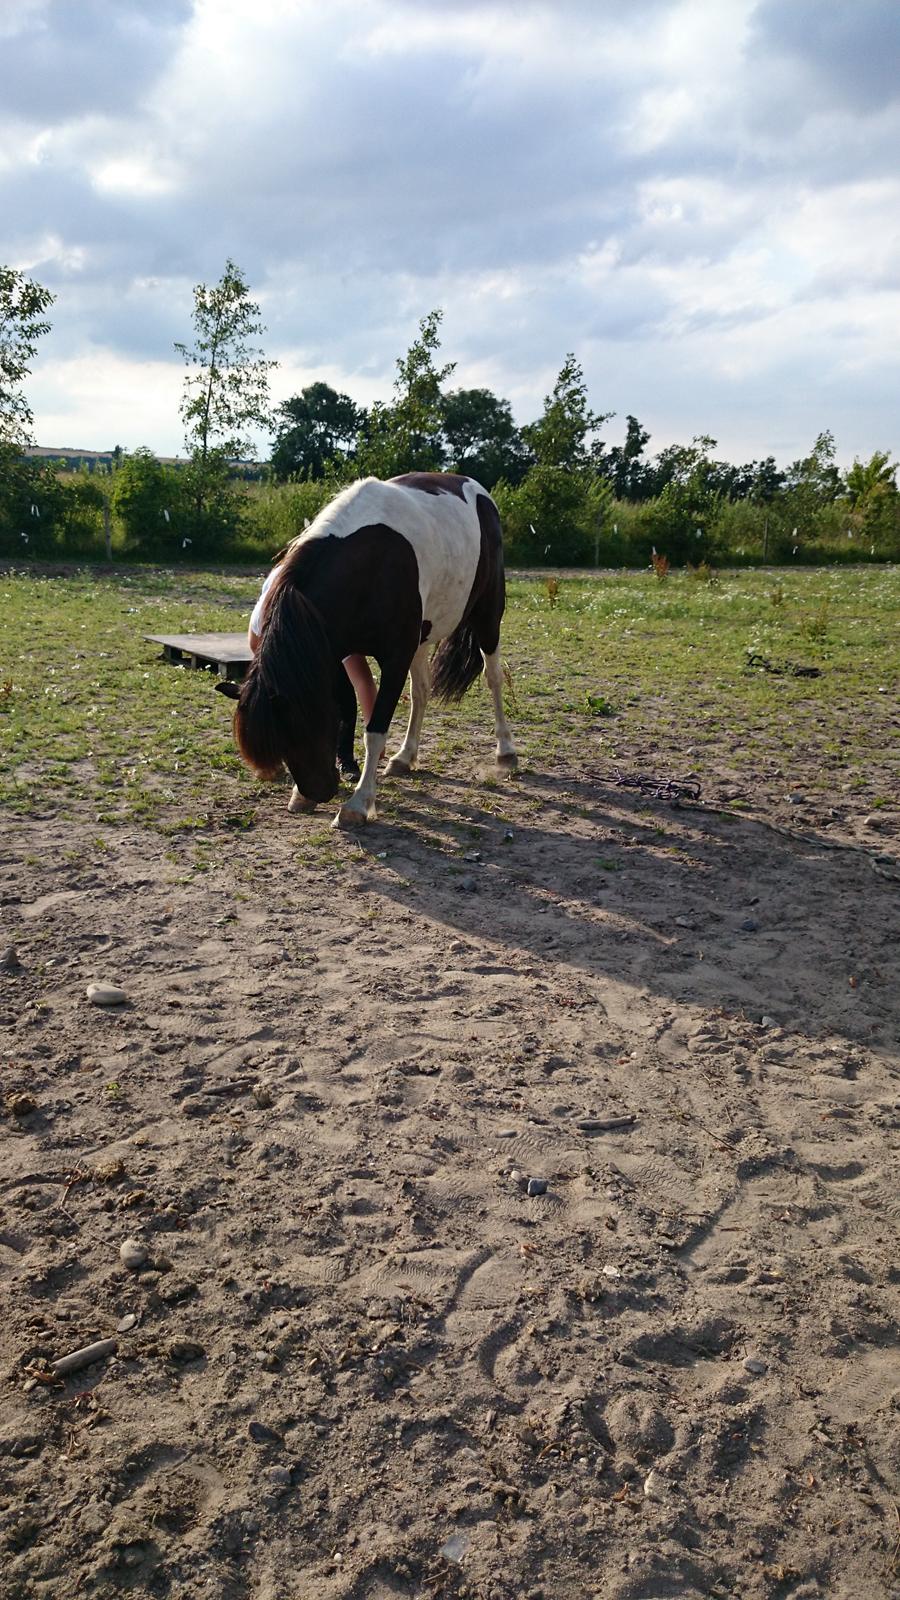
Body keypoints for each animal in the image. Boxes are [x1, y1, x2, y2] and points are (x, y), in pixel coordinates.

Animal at [220, 470, 515, 825]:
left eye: (303, 727)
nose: (318, 792)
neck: (368, 567)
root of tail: (476, 489)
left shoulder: (394, 657)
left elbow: (375, 729)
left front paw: (357, 804)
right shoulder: (335, 652)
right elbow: (351, 702)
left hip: (488, 616)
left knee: (493, 677)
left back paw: (505, 753)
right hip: (422, 637)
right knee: (422, 690)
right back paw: (405, 756)